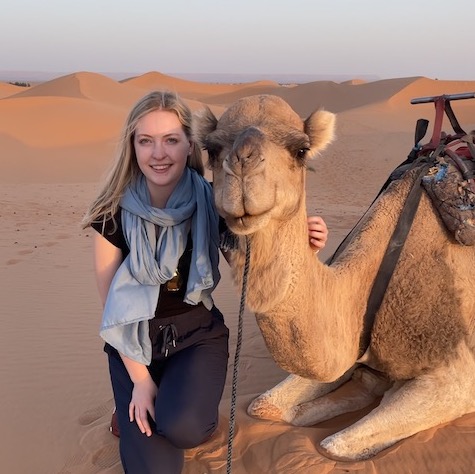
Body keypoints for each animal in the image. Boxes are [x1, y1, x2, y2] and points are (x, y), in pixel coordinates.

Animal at [195, 94, 475, 462]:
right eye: (211, 149)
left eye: (301, 150)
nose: (243, 162)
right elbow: (264, 406)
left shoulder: (460, 374)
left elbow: (333, 446)